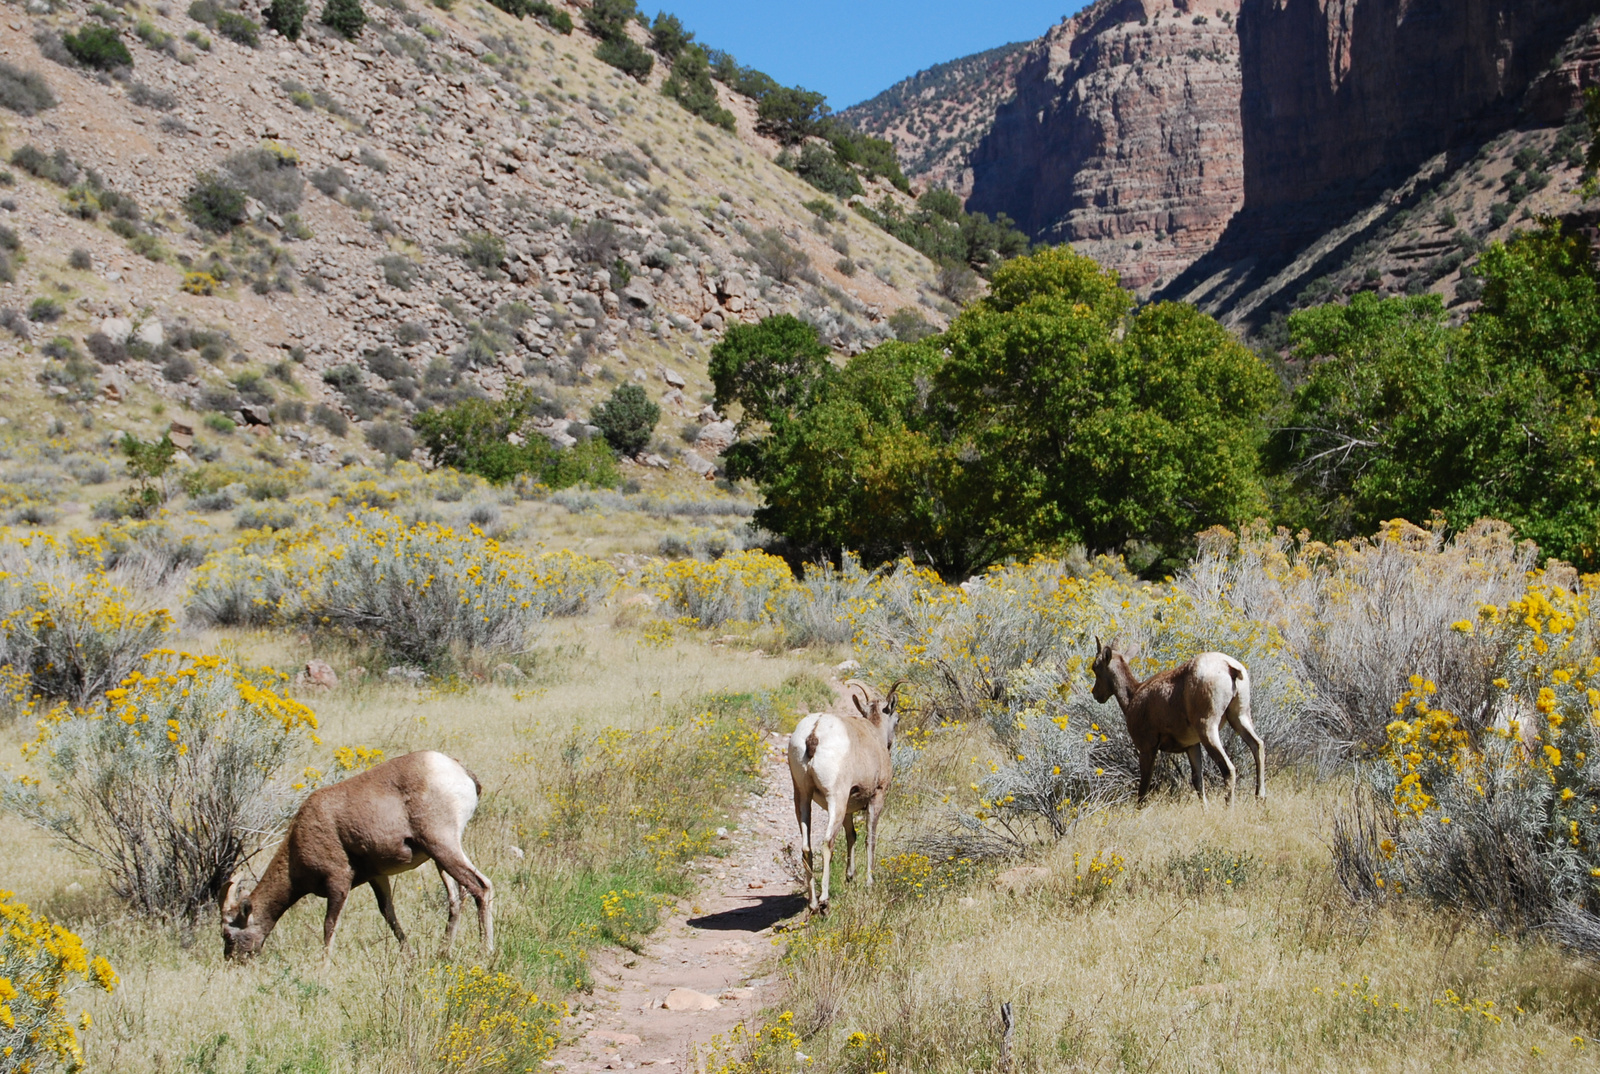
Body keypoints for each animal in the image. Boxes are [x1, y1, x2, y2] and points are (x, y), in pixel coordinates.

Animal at [220, 752, 492, 960]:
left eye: (228, 935)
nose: (233, 962)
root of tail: (459, 770)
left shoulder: (338, 881)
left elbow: (329, 925)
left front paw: (323, 966)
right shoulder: (377, 877)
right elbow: (388, 914)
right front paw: (410, 955)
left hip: (443, 846)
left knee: (481, 887)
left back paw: (485, 953)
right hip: (439, 856)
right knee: (457, 897)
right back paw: (443, 951)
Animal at [790, 675, 908, 909]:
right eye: (897, 719)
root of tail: (814, 733)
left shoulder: (848, 808)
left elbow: (851, 835)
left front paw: (850, 876)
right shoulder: (876, 797)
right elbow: (869, 838)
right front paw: (869, 882)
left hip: (802, 796)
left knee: (806, 848)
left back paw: (813, 903)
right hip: (836, 798)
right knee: (827, 843)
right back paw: (824, 903)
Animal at [1094, 640, 1267, 806]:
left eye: (1095, 667)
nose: (1095, 694)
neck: (1133, 696)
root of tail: (1229, 667)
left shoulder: (1147, 748)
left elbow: (1144, 787)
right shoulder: (1192, 746)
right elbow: (1197, 780)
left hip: (1208, 729)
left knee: (1229, 768)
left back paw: (1229, 808)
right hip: (1240, 717)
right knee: (1257, 745)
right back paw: (1260, 797)